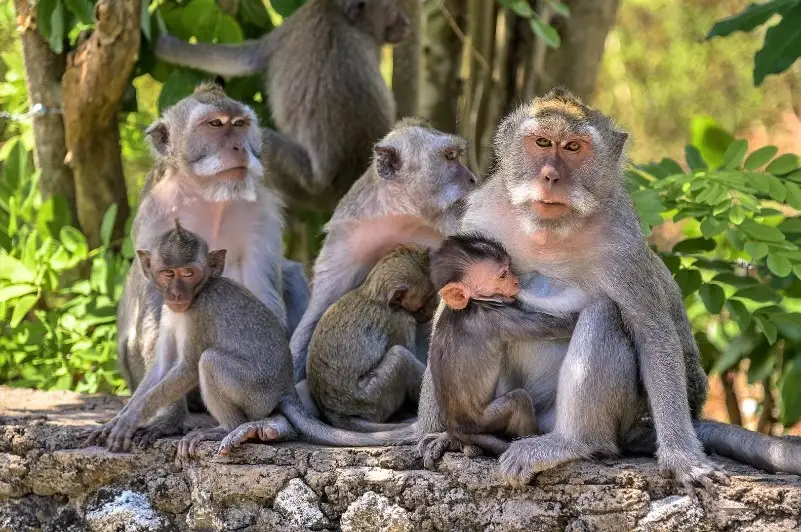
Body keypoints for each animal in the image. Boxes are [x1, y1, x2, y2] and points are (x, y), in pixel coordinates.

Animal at [88, 222, 419, 454]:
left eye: (189, 273)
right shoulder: (171, 313)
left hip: (256, 393)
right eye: (168, 274)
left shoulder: (199, 314)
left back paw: (226, 428)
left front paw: (130, 420)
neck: (196, 295)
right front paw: (121, 417)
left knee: (210, 361)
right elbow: (161, 367)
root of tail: (285, 389)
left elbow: (187, 367)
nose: (177, 294)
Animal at [115, 84, 308, 442]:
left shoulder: (261, 210)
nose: (239, 147)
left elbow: (264, 294)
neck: (209, 195)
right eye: (215, 125)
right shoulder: (155, 215)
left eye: (240, 124)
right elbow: (154, 311)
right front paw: (167, 420)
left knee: (290, 272)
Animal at [291, 118, 478, 382]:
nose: (472, 178)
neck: (402, 217)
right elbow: (318, 315)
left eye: (456, 155)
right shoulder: (345, 245)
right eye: (450, 157)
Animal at [306, 245, 436, 431]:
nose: (433, 308)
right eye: (428, 296)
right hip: (372, 398)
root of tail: (336, 414)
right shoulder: (400, 320)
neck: (375, 296)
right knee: (400, 357)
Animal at [428, 234, 578, 456]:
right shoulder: (499, 318)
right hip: (484, 420)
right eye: (502, 275)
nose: (516, 281)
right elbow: (553, 327)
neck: (472, 304)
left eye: (509, 269)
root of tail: (456, 427)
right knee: (518, 399)